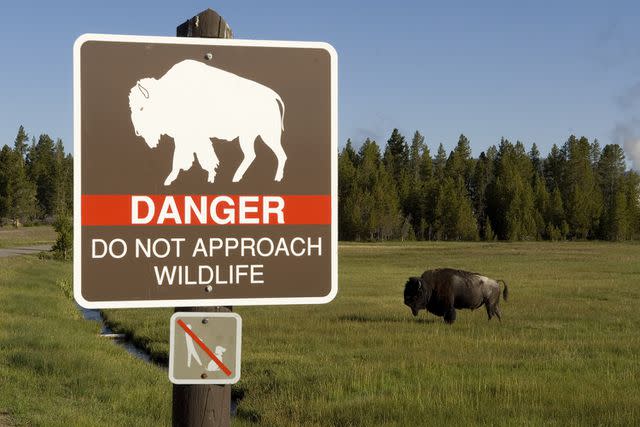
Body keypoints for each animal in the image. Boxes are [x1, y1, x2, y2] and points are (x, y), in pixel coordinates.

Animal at [128, 59, 288, 186]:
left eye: (141, 107)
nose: (137, 132)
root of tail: (273, 96)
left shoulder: (188, 137)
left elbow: (186, 158)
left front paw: (170, 179)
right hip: (248, 137)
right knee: (252, 155)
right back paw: (236, 178)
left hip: (268, 136)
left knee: (280, 155)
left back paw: (276, 178)